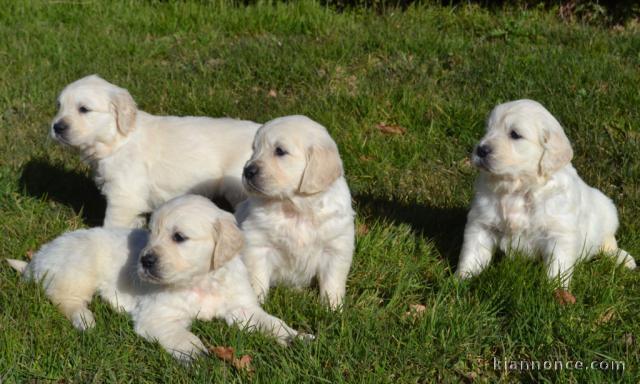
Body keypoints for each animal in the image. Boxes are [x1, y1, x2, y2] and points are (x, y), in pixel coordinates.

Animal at [6, 196, 312, 362]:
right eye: (151, 233)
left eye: (179, 237)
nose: (145, 260)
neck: (200, 281)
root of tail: (37, 258)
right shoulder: (157, 316)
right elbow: (181, 335)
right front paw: (197, 355)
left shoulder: (241, 307)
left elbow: (271, 322)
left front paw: (297, 337)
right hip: (77, 268)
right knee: (65, 300)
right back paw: (85, 320)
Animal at [236, 115, 358, 310]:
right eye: (254, 149)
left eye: (280, 151)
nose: (247, 171)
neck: (295, 207)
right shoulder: (257, 244)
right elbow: (257, 278)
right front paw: (256, 305)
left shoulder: (336, 246)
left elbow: (333, 281)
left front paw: (332, 308)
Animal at [458, 100, 636, 286]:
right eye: (487, 129)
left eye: (514, 134)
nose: (481, 150)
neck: (518, 187)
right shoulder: (482, 223)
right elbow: (473, 252)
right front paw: (462, 279)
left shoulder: (559, 233)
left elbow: (558, 266)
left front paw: (554, 289)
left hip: (608, 215)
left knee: (608, 243)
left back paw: (624, 259)